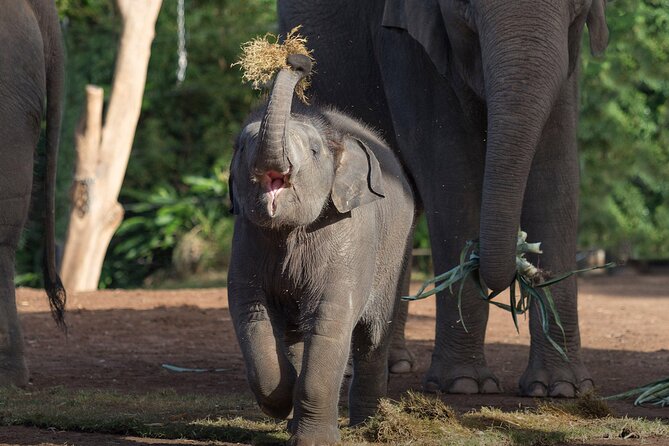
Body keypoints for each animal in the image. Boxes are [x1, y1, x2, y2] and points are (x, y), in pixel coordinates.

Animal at [228, 54, 412, 444]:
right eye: (241, 148)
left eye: (314, 151)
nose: (298, 61)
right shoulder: (247, 238)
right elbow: (252, 313)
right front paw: (282, 402)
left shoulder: (348, 236)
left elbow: (331, 319)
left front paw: (313, 440)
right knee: (296, 335)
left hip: (396, 250)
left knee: (373, 337)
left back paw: (367, 425)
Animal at [276, 0, 604, 398]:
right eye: (465, 12)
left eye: (579, 7)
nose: (526, 271)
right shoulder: (408, 42)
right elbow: (451, 169)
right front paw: (464, 384)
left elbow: (556, 173)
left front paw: (562, 389)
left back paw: (394, 363)